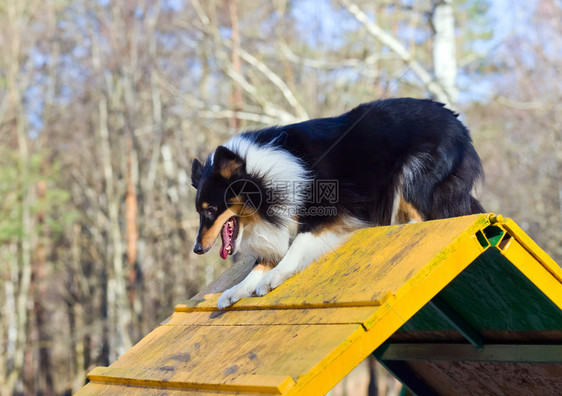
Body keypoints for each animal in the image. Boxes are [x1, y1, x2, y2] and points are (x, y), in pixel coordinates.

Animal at [189, 97, 482, 308]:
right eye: (199, 212)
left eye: (211, 209)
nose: (197, 249)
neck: (263, 176)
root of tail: (459, 124)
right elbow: (260, 263)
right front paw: (235, 290)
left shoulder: (331, 212)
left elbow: (297, 245)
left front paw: (273, 277)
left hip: (410, 174)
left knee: (424, 216)